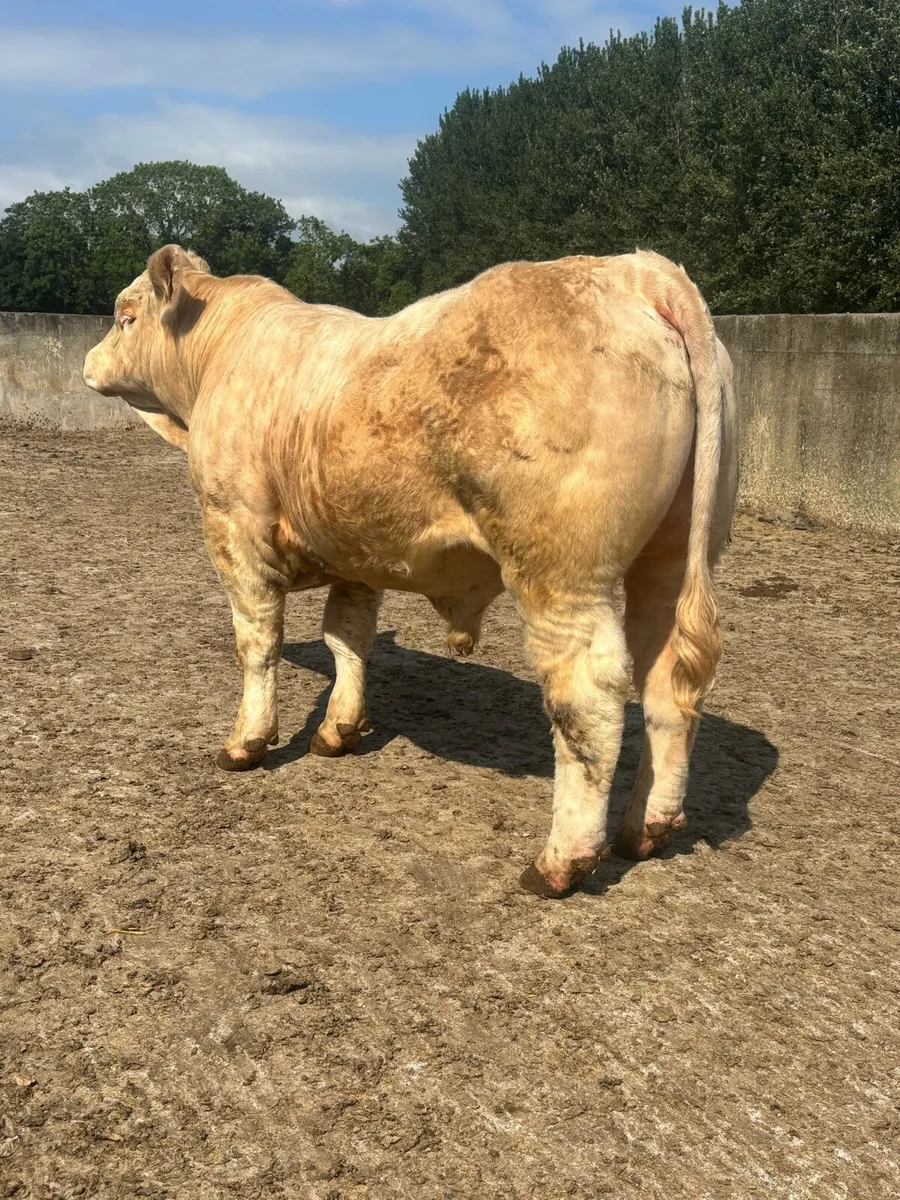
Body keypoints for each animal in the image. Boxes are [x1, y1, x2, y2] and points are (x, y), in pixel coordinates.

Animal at [83, 245, 738, 899]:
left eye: (125, 316)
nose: (88, 361)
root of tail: (638, 271)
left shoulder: (235, 528)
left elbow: (258, 643)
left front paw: (246, 743)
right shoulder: (354, 547)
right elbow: (347, 638)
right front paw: (338, 730)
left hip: (562, 571)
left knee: (587, 697)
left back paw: (561, 862)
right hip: (672, 558)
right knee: (670, 684)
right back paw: (647, 829)